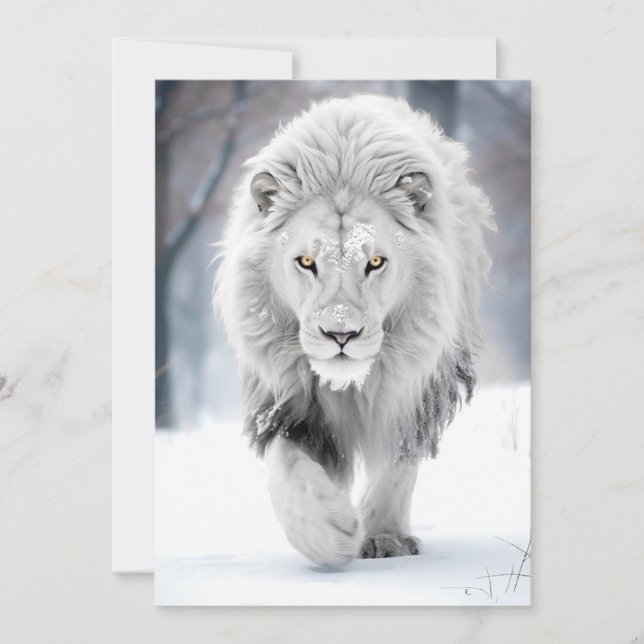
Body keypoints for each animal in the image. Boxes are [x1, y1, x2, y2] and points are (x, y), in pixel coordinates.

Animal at [215, 94, 493, 566]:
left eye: (375, 262)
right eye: (307, 262)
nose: (340, 336)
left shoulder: (418, 387)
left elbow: (397, 463)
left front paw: (384, 539)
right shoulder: (284, 400)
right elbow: (286, 469)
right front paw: (328, 531)